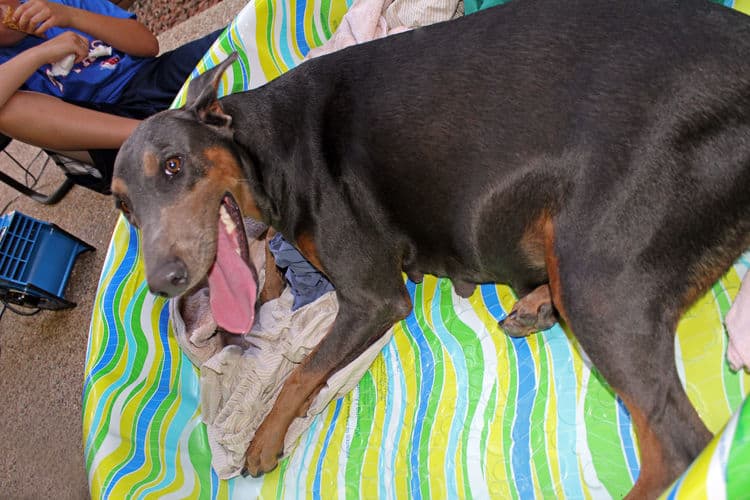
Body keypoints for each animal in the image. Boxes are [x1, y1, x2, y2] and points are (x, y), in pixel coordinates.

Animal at [110, 0, 750, 496]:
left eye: (173, 165)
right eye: (122, 206)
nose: (162, 281)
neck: (264, 146)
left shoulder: (372, 297)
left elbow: (303, 369)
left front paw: (264, 439)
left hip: (597, 273)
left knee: (680, 444)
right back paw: (538, 303)